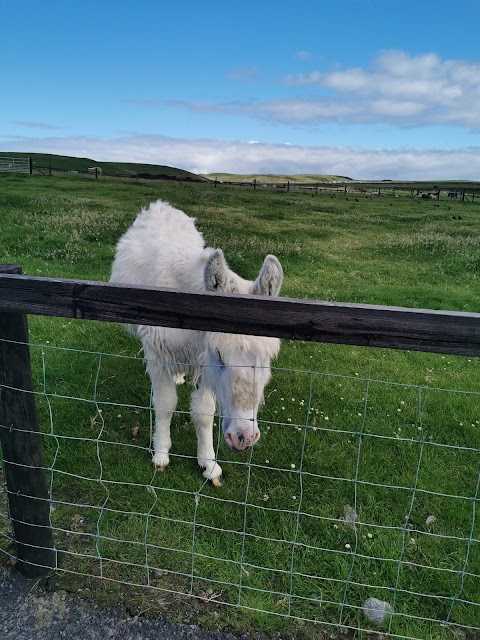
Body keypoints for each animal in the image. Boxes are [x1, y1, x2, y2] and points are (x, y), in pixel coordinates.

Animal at [110, 200, 284, 484]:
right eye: (219, 354)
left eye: (266, 358)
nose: (243, 438)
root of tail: (161, 205)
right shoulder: (158, 354)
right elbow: (165, 405)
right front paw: (161, 453)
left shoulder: (202, 364)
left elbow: (203, 413)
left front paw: (209, 463)